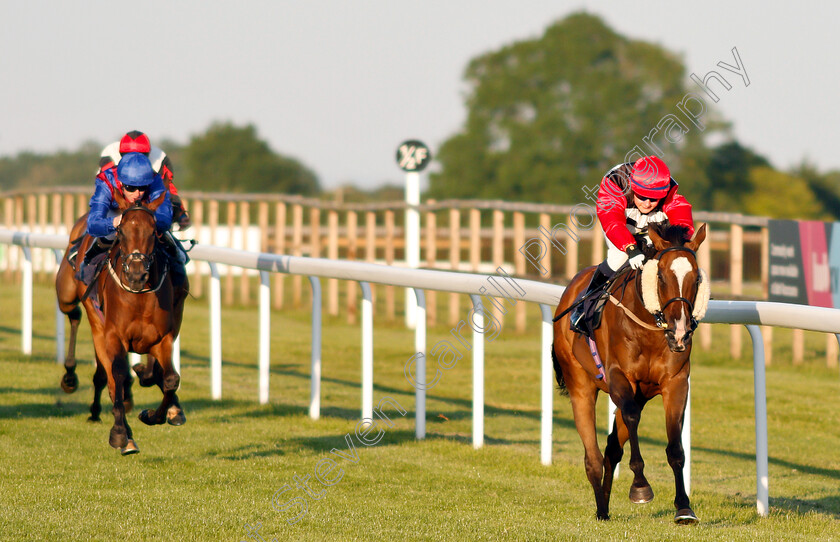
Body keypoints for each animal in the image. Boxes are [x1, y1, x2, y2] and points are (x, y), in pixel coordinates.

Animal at [55, 190, 189, 454]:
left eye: (153, 232)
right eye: (122, 232)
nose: (137, 274)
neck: (139, 296)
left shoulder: (162, 337)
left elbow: (170, 379)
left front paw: (154, 414)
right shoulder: (113, 336)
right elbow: (117, 376)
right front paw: (119, 434)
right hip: (73, 299)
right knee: (74, 316)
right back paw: (71, 379)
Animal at [552, 223, 708, 524]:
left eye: (696, 278)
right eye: (660, 276)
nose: (680, 332)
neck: (650, 328)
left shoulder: (675, 383)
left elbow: (675, 446)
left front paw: (684, 507)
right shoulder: (618, 377)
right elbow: (633, 418)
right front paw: (640, 487)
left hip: (640, 393)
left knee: (612, 447)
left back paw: (605, 504)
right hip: (581, 384)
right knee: (593, 455)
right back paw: (601, 508)